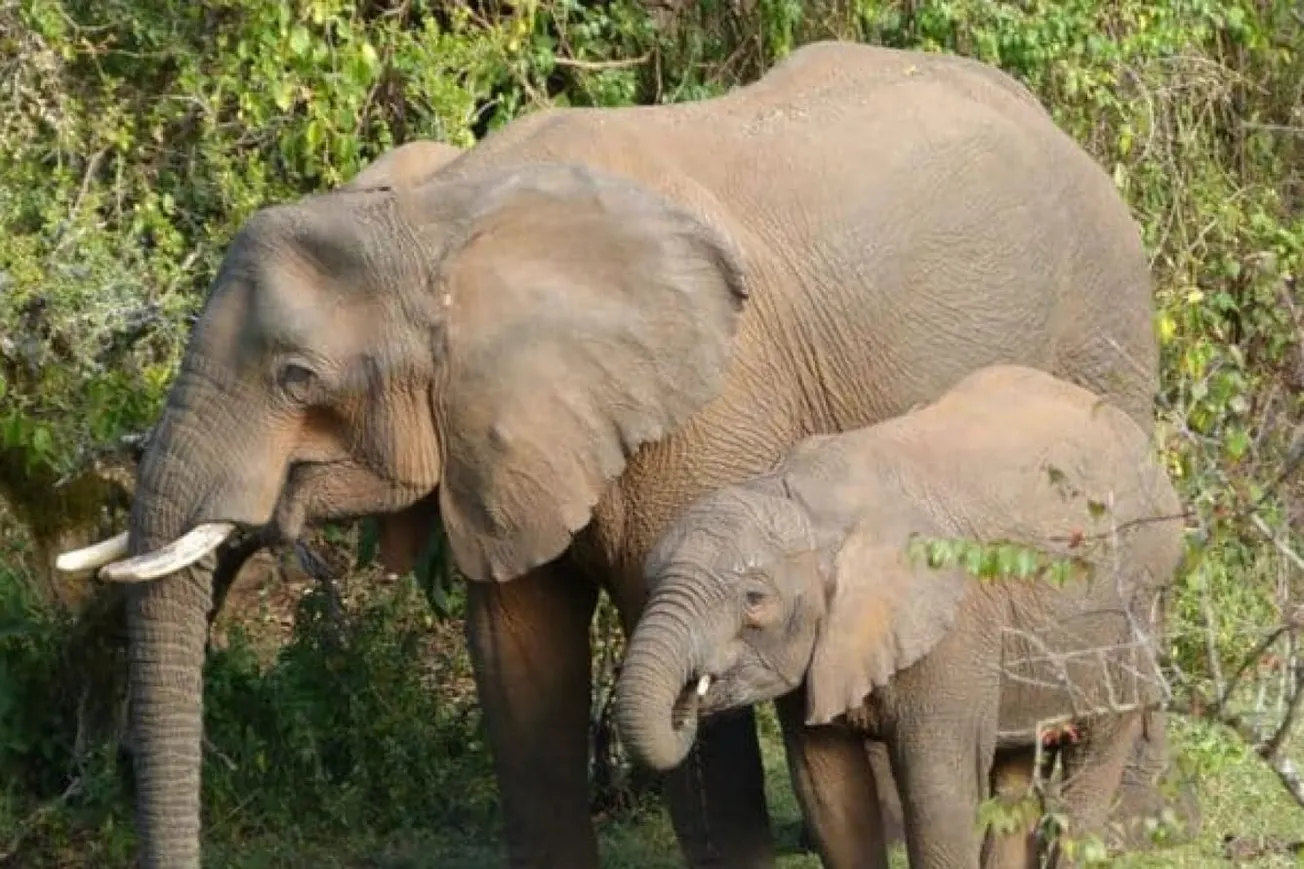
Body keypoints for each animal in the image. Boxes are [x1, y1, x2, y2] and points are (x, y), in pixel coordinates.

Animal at [616, 364, 1186, 869]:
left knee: (1093, 757)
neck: (808, 501)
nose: (689, 702)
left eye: (754, 598)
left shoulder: (954, 630)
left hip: (1135, 601)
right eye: (647, 579)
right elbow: (829, 791)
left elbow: (940, 791)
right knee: (1015, 769)